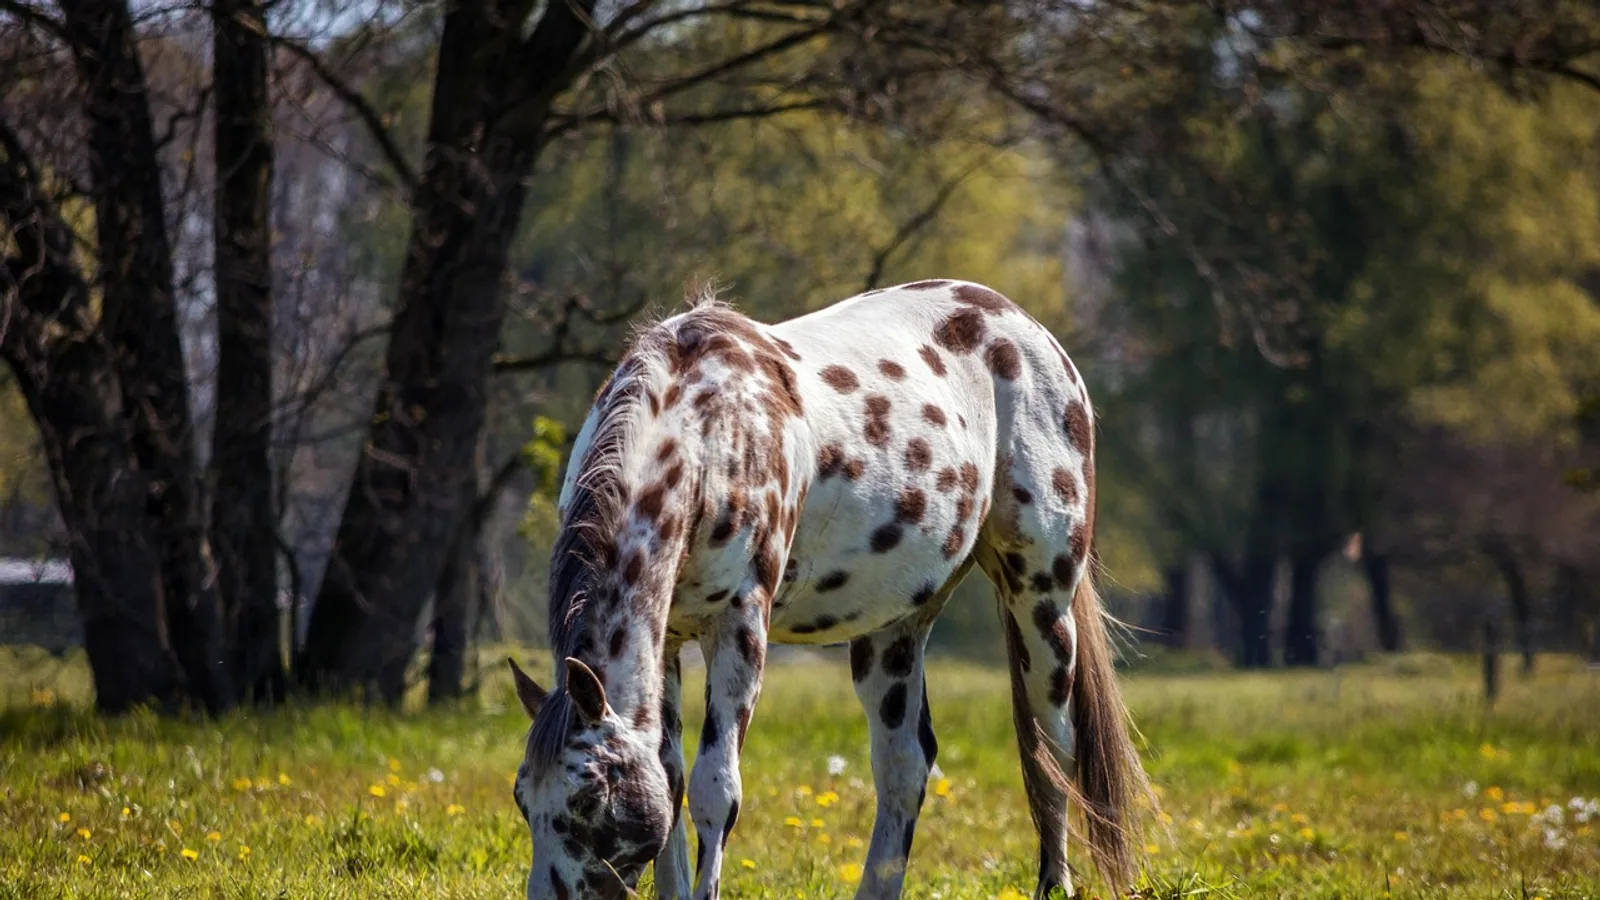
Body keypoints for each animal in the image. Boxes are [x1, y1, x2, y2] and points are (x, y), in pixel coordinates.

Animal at [505, 279, 1150, 900]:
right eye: (522, 798)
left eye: (587, 799)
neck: (706, 432)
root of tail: (1029, 330)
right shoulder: (666, 640)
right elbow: (670, 779)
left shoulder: (740, 626)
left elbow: (716, 790)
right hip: (893, 630)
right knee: (904, 767)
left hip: (1042, 603)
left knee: (1051, 751)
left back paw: (1055, 881)